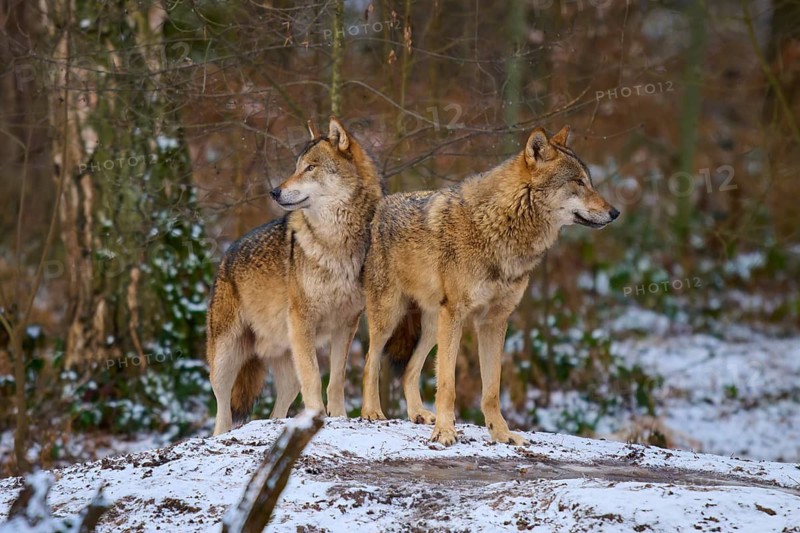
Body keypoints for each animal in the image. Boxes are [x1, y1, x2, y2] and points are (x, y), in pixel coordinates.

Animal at [207, 118, 383, 435]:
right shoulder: (303, 321)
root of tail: (225, 257)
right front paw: (317, 417)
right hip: (225, 357)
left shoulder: (346, 325)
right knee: (222, 407)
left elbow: (335, 380)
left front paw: (339, 416)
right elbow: (313, 378)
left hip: (282, 358)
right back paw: (221, 433)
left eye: (310, 167)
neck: (337, 243)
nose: (274, 192)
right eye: (296, 167)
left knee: (283, 398)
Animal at [360, 125, 619, 445]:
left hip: (433, 327)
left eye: (589, 181)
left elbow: (492, 389)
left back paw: (418, 413)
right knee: (370, 360)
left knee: (409, 370)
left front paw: (502, 433)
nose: (615, 212)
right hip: (391, 316)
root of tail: (381, 207)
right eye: (578, 182)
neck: (500, 226)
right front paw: (445, 432)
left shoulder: (494, 321)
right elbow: (448, 384)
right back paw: (372, 411)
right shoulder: (456, 315)